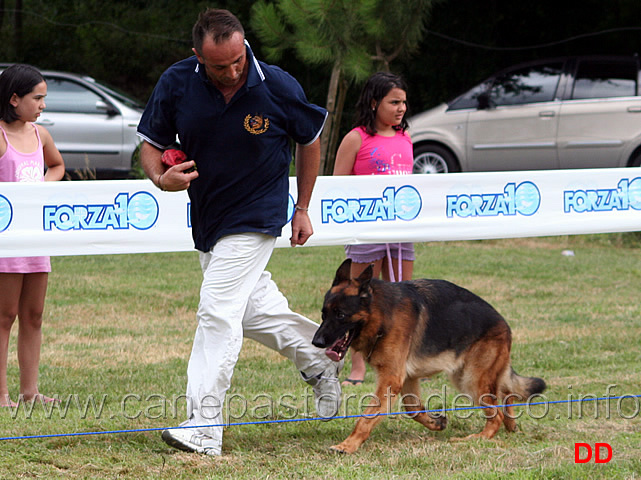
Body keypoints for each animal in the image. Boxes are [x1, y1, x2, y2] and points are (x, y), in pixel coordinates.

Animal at [312, 260, 544, 452]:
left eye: (341, 315)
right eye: (324, 314)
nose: (317, 342)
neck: (381, 315)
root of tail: (504, 324)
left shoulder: (391, 378)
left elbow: (367, 417)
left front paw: (348, 445)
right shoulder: (406, 377)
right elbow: (412, 408)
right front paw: (436, 422)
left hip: (472, 379)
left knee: (496, 414)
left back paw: (476, 438)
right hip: (466, 376)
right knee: (506, 395)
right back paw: (510, 424)